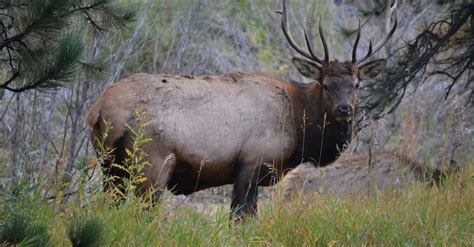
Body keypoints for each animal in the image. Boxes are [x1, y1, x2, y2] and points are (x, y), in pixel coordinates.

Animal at [88, 0, 396, 220]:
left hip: (109, 166)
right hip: (152, 162)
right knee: (141, 213)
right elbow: (241, 219)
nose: (344, 109)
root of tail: (100, 109)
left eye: (356, 84)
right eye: (326, 84)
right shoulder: (251, 162)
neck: (298, 126)